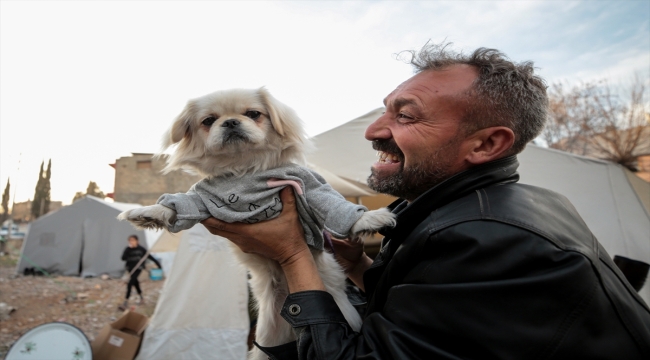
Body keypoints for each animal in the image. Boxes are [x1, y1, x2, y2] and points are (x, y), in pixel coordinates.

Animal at [117, 88, 394, 360]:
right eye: (208, 121)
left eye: (253, 114)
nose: (230, 122)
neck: (244, 170)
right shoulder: (202, 198)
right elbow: (179, 204)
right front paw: (147, 213)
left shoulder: (310, 185)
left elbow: (334, 204)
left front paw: (367, 219)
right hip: (266, 340)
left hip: (343, 314)